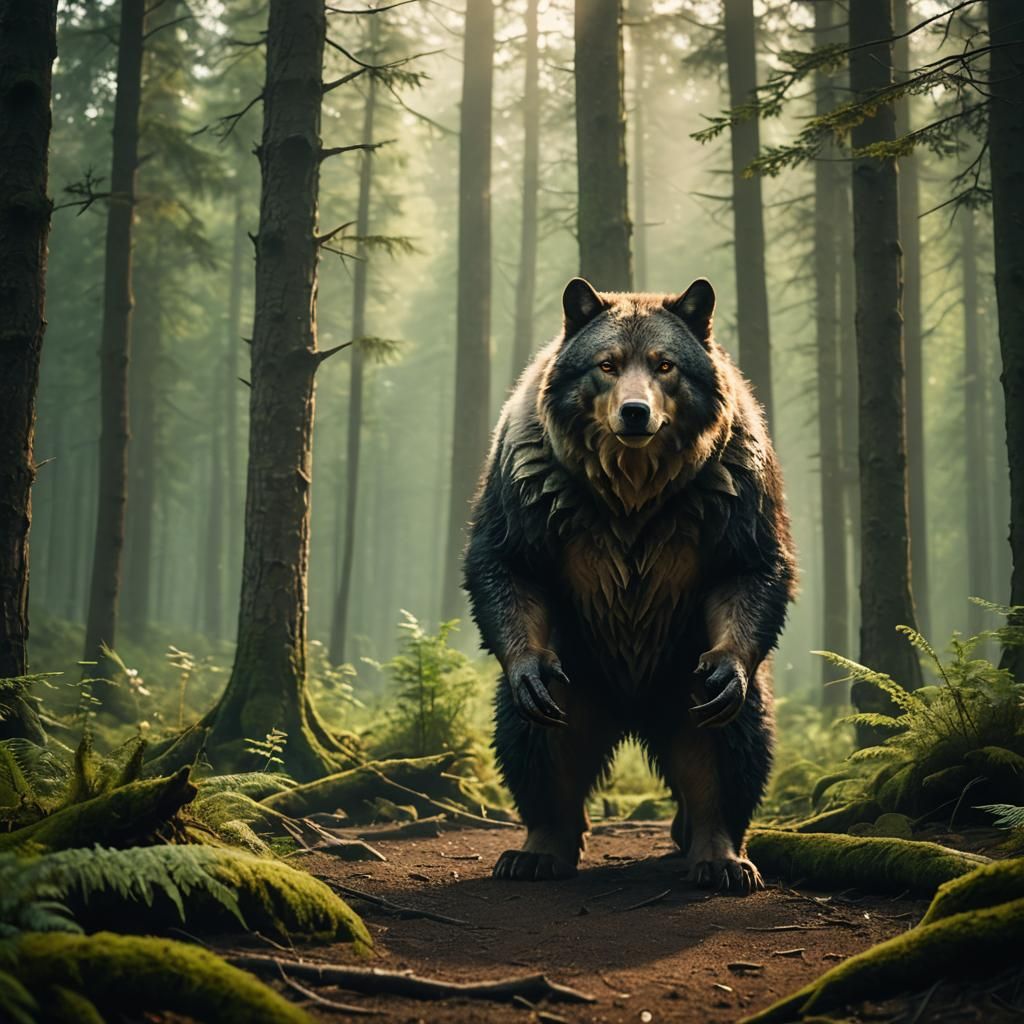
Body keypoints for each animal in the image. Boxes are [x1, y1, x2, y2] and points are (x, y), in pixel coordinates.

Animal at [463, 276, 796, 894]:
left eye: (665, 364)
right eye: (607, 364)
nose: (635, 412)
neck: (633, 495)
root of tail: (633, 710)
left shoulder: (729, 491)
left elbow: (751, 569)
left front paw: (730, 666)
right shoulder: (535, 487)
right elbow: (506, 564)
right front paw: (526, 667)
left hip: (681, 672)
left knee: (726, 751)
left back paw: (719, 855)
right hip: (579, 668)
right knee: (542, 749)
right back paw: (538, 849)